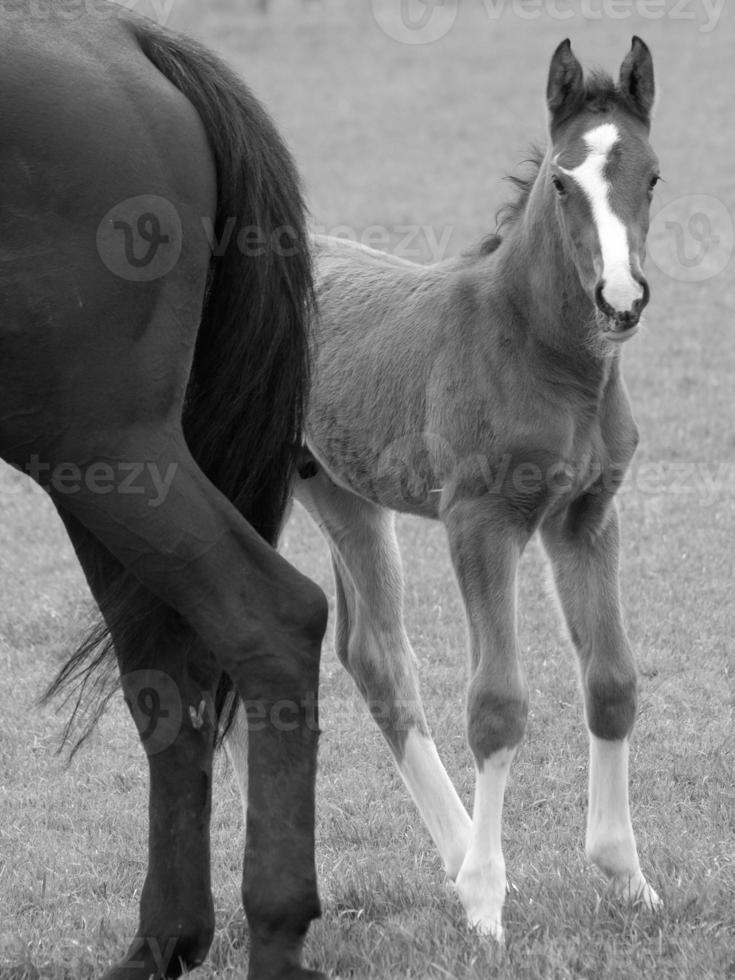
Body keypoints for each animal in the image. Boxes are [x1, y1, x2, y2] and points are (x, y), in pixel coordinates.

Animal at [0, 1, 328, 980]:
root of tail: (120, 37)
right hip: (100, 465)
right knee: (165, 671)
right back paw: (163, 940)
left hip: (103, 447)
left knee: (271, 619)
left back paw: (274, 926)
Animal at [233, 36, 664, 940]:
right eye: (562, 182)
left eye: (650, 176)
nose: (619, 299)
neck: (538, 351)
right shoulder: (481, 522)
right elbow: (496, 704)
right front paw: (487, 910)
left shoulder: (584, 518)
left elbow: (611, 682)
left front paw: (627, 879)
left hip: (342, 495)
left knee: (374, 657)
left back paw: (458, 854)